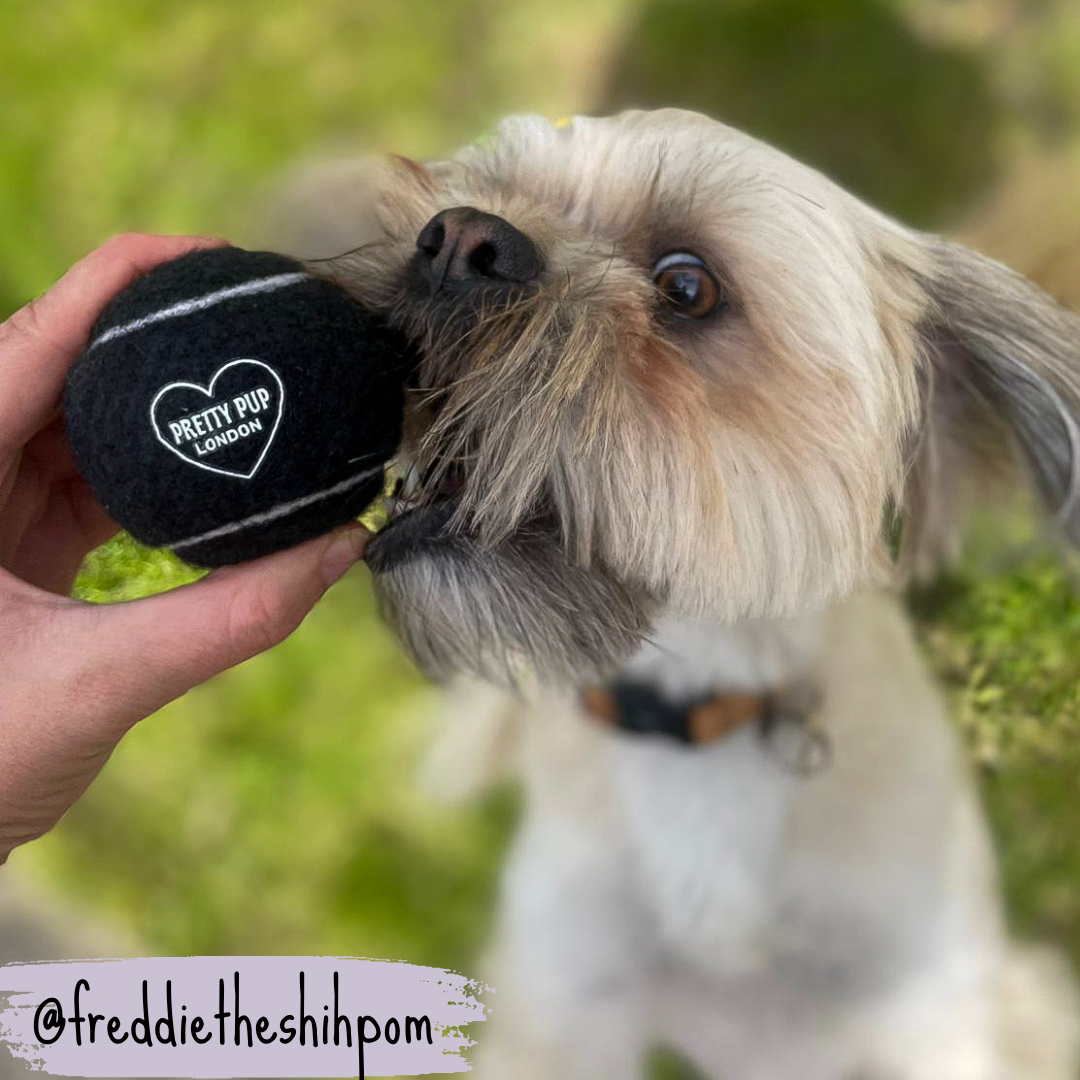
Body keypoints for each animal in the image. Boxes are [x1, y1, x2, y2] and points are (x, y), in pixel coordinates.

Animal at [276, 109, 1080, 1080]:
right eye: (494, 185)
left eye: (687, 287)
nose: (458, 237)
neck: (694, 725)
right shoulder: (568, 1001)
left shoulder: (925, 1013)